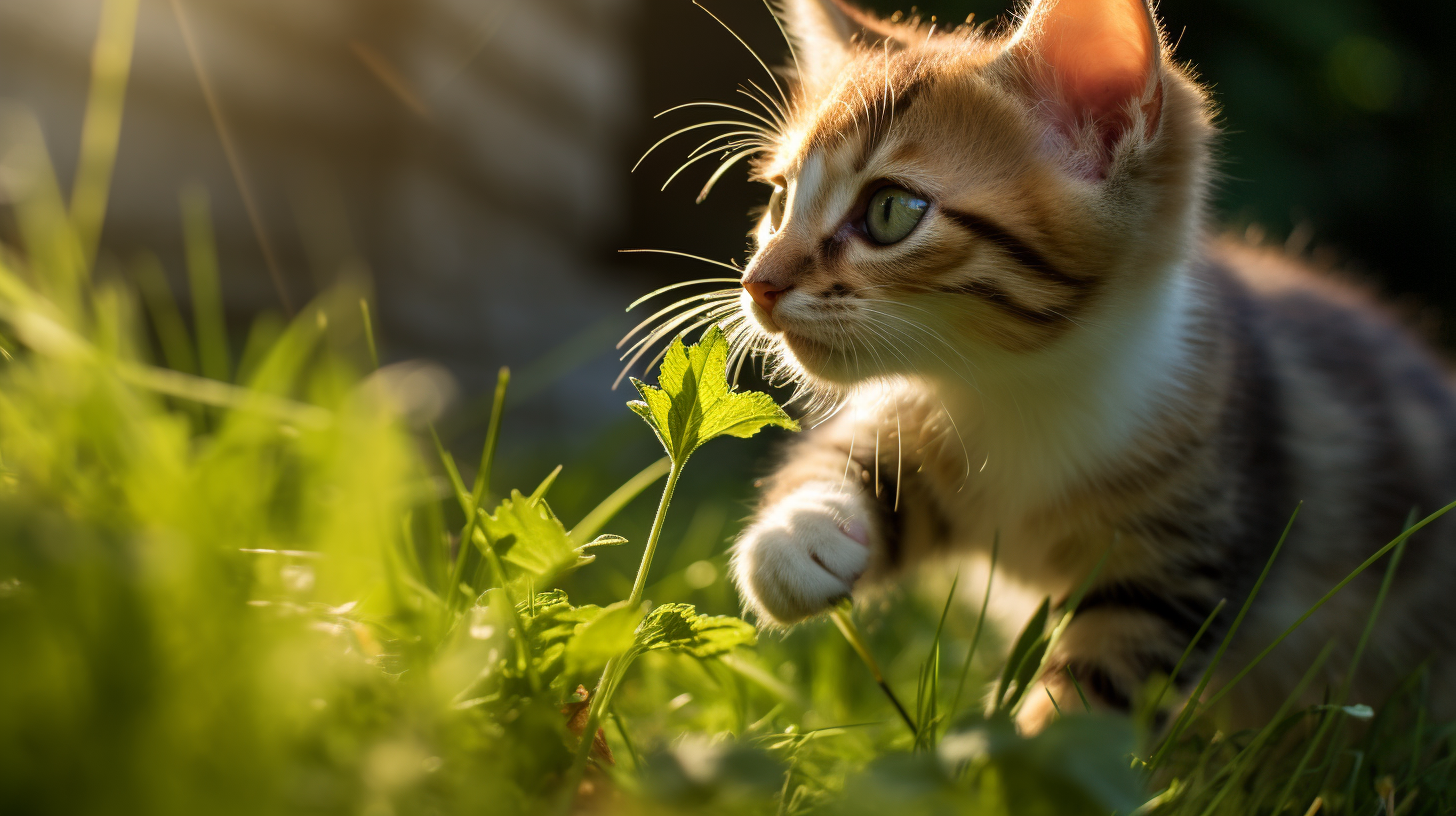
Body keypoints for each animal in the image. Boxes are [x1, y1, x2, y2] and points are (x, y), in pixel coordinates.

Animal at [728, 0, 1456, 734]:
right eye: (778, 204)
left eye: (891, 211)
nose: (758, 283)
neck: (1018, 382)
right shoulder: (921, 422)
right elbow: (855, 461)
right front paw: (794, 538)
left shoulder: (1188, 544)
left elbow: (1094, 697)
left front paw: (1020, 756)